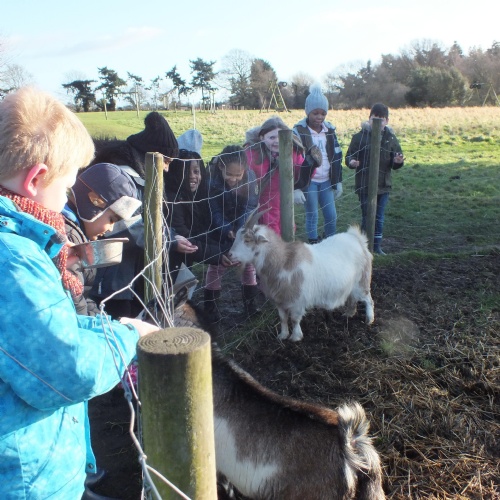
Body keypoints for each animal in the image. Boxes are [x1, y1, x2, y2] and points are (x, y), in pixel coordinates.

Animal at [227, 207, 375, 342]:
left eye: (247, 240)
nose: (230, 255)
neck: (283, 261)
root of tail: (357, 238)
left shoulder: (297, 300)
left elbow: (294, 319)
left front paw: (295, 337)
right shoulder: (280, 300)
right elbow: (283, 318)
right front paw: (282, 336)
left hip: (362, 281)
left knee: (368, 299)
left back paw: (369, 319)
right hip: (351, 285)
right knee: (353, 298)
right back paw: (349, 314)